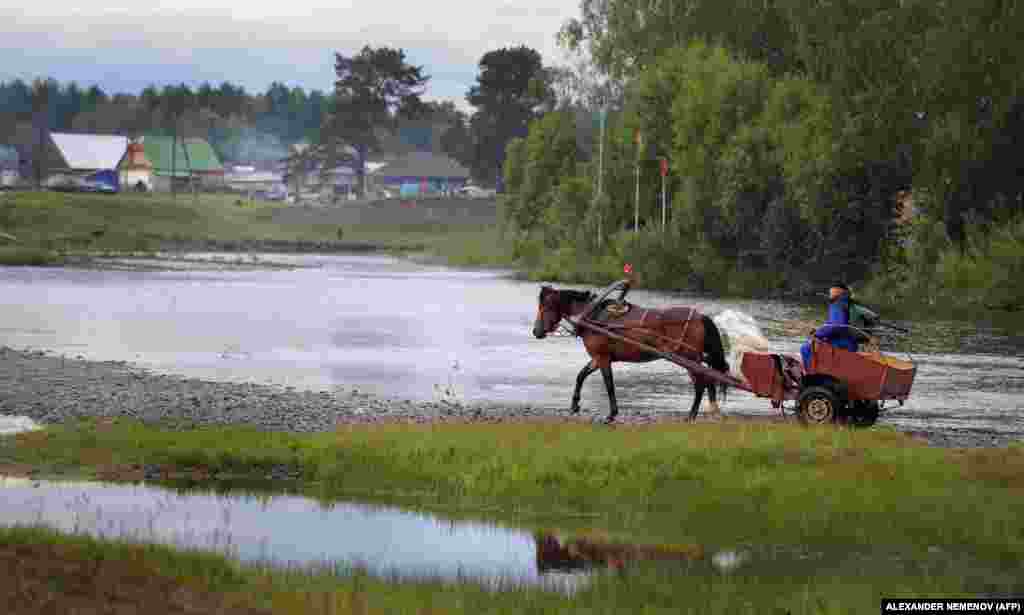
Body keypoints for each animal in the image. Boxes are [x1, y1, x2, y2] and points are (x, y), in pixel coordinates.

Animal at [532, 284, 733, 421]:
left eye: (545, 307)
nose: (536, 331)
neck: (593, 316)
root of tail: (700, 316)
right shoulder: (598, 358)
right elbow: (581, 376)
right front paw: (575, 404)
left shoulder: (603, 358)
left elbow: (609, 385)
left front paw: (612, 414)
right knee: (706, 382)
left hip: (687, 358)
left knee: (701, 384)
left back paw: (692, 415)